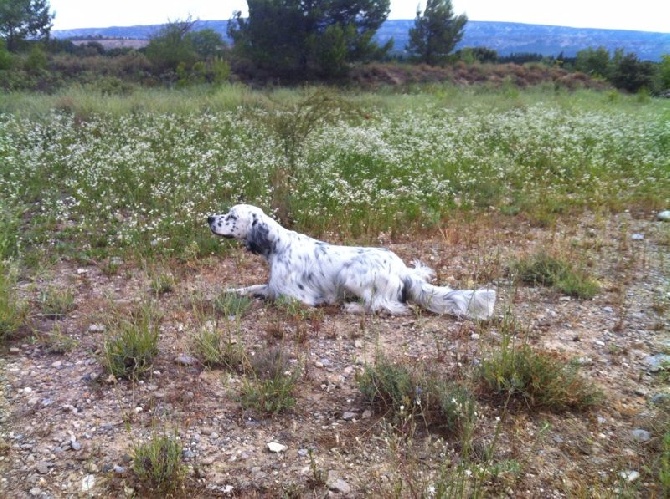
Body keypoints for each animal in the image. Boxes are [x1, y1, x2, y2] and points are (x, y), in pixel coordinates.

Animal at [207, 204, 496, 318]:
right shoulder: (271, 286)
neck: (278, 246)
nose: (209, 218)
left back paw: (353, 307)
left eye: (231, 216)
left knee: (383, 306)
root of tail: (402, 271)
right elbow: (250, 288)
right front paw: (229, 291)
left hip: (352, 276)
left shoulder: (297, 297)